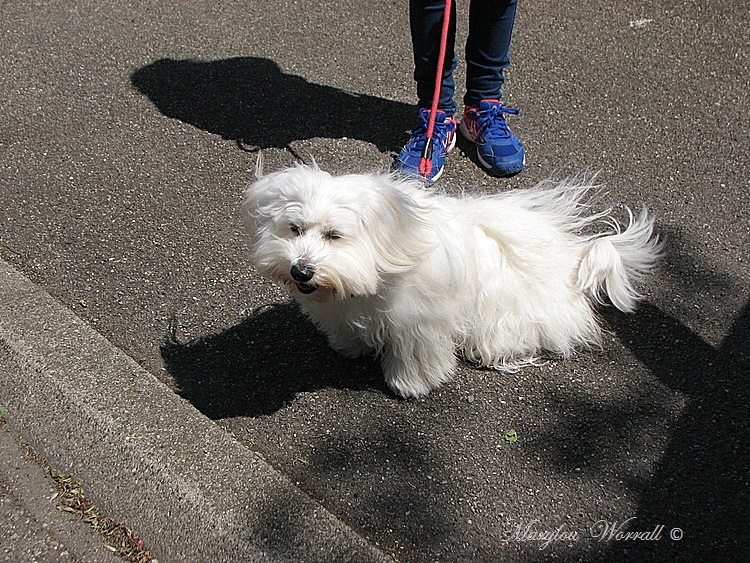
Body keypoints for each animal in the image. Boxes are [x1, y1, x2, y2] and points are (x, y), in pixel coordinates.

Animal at [244, 163, 660, 398]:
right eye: (295, 229)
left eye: (334, 236)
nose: (301, 270)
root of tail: (571, 262)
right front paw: (349, 346)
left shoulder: (419, 322)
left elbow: (415, 356)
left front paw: (409, 385)